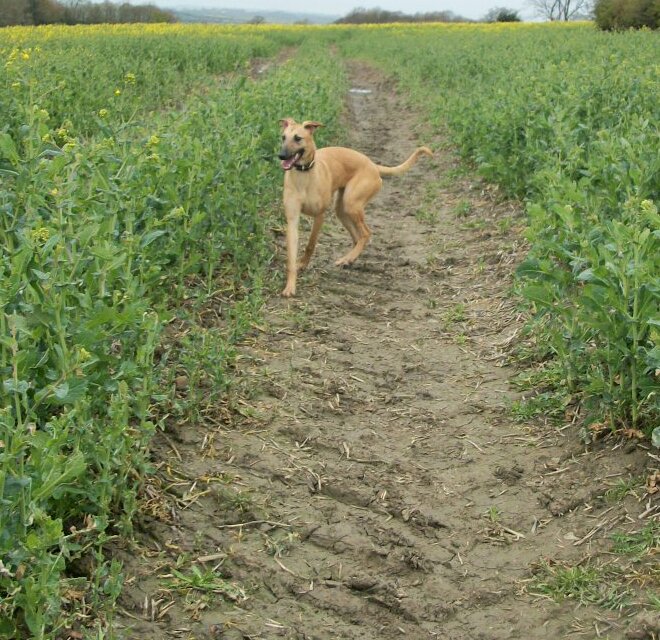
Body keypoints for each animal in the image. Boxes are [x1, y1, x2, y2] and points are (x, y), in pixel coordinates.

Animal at [278, 118, 432, 297]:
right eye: (283, 137)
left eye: (298, 138)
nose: (281, 156)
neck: (304, 174)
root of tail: (372, 165)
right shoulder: (292, 219)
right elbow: (291, 256)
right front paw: (290, 285)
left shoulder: (320, 215)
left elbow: (311, 244)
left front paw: (303, 264)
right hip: (342, 209)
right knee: (357, 237)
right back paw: (349, 258)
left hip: (352, 204)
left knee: (366, 234)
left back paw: (348, 258)